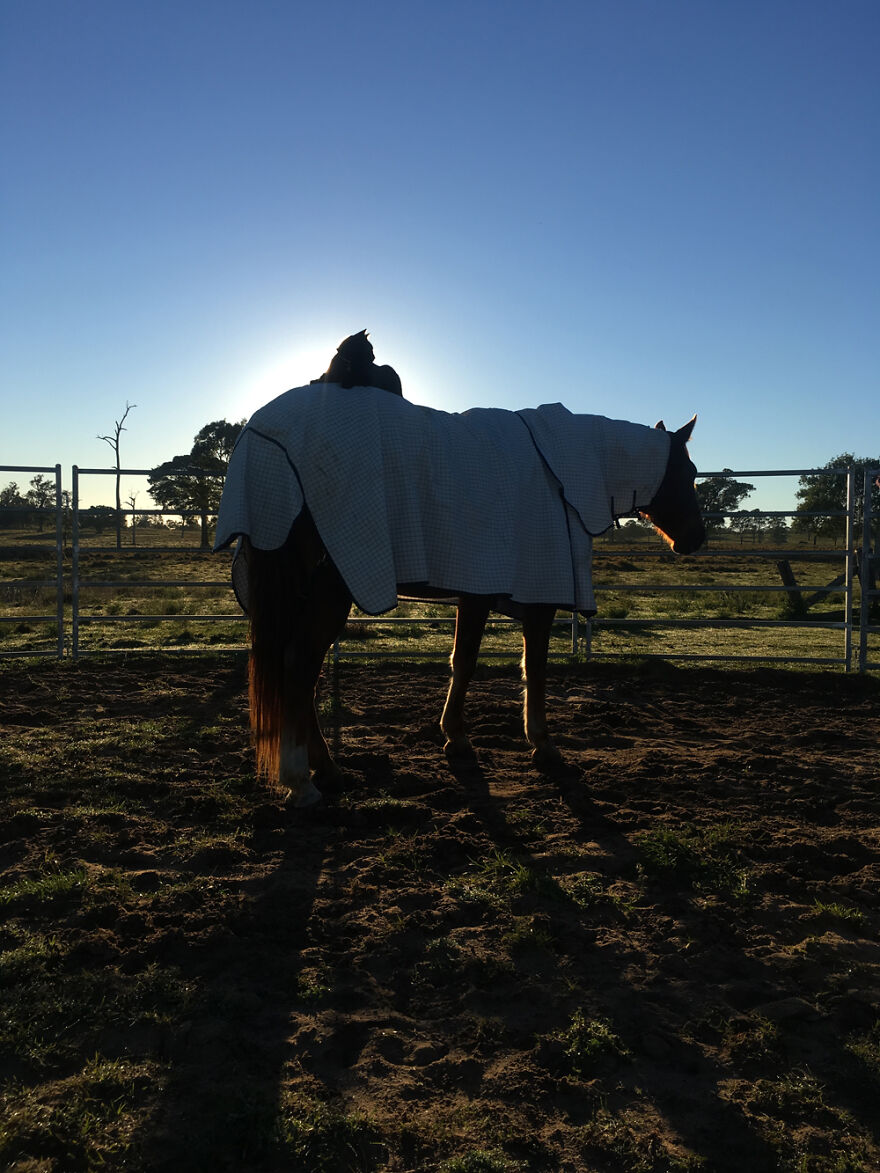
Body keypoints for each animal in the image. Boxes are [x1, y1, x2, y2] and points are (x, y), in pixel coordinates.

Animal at [240, 415, 705, 807]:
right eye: (689, 473)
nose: (697, 537)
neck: (558, 479)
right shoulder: (530, 599)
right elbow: (528, 668)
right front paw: (539, 742)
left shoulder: (475, 593)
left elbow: (462, 661)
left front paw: (455, 735)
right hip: (328, 594)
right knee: (299, 667)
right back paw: (302, 781)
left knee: (298, 672)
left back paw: (325, 770)